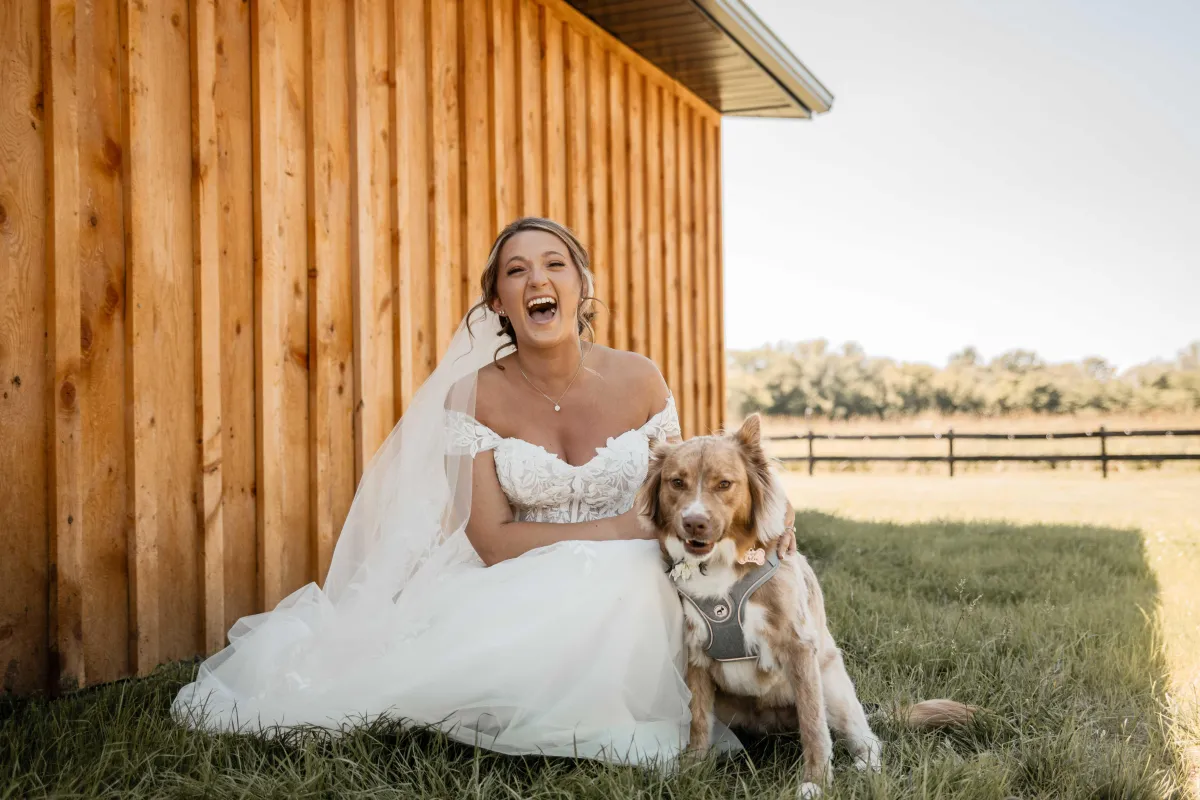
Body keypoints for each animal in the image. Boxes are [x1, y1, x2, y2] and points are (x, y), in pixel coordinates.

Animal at [639, 414, 975, 796]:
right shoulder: (697, 654)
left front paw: (815, 782)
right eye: (677, 482)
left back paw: (866, 767)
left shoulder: (798, 647)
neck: (722, 568)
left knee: (866, 738)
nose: (695, 522)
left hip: (834, 686)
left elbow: (814, 727)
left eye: (724, 484)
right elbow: (697, 721)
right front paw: (691, 771)